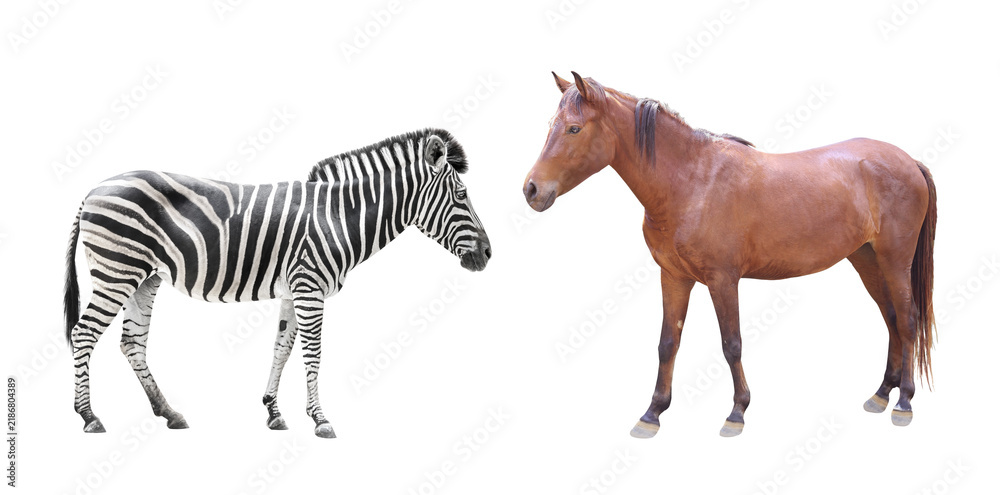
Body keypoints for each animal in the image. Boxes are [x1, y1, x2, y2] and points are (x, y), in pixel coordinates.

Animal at [63, 128, 491, 438]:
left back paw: (169, 412)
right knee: (84, 334)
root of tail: (93, 189)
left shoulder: (294, 289)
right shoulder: (309, 288)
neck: (337, 217)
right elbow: (313, 353)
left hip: (143, 277)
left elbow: (282, 348)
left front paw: (273, 410)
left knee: (132, 342)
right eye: (462, 195)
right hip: (117, 271)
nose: (488, 254)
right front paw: (320, 418)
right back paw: (89, 416)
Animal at [522, 72, 936, 437]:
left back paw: (904, 403)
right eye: (552, 124)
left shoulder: (723, 280)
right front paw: (652, 413)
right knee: (891, 318)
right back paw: (881, 394)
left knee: (908, 319)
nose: (531, 189)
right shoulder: (674, 276)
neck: (691, 181)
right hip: (867, 260)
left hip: (895, 261)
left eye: (574, 128)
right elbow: (667, 344)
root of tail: (909, 161)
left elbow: (731, 343)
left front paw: (737, 412)